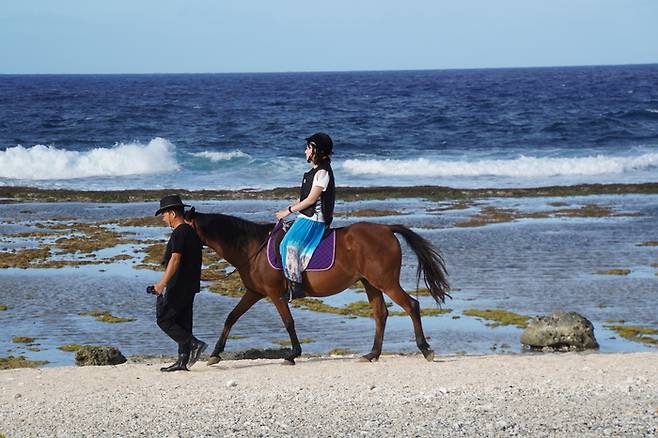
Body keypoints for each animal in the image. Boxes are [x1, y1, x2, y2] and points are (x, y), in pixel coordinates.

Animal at [184, 210, 452, 366]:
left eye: (183, 227)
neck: (252, 248)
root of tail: (386, 229)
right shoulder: (255, 293)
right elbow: (231, 317)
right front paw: (215, 353)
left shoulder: (274, 294)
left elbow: (288, 322)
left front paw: (293, 354)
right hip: (370, 283)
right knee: (381, 314)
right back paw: (372, 354)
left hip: (385, 281)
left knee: (411, 305)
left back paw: (425, 349)